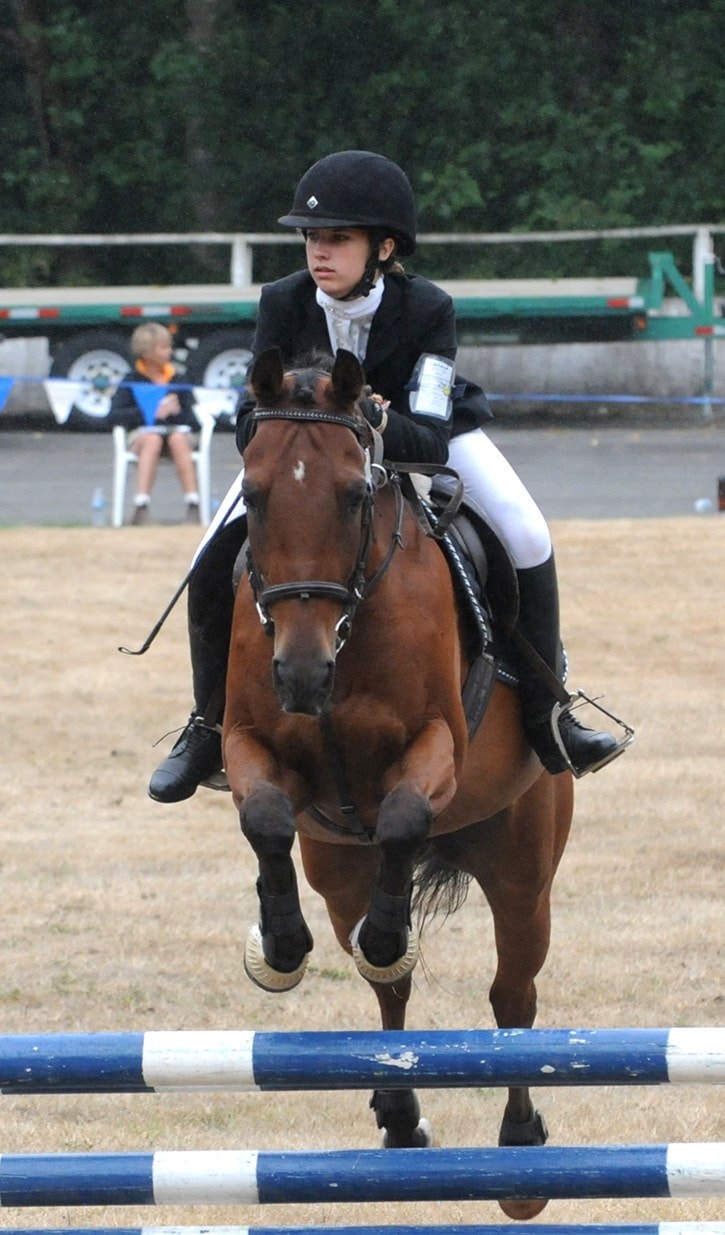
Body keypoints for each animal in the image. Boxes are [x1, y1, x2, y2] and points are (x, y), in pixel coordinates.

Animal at [223, 345, 575, 1215]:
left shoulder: (437, 743)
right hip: (339, 870)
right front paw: (279, 944)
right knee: (388, 986)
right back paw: (398, 1112)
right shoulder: (248, 743)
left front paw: (381, 932)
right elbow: (267, 817)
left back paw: (520, 1149)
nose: (302, 673)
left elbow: (404, 814)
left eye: (354, 495)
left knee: (511, 994)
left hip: (523, 868)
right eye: (254, 493)